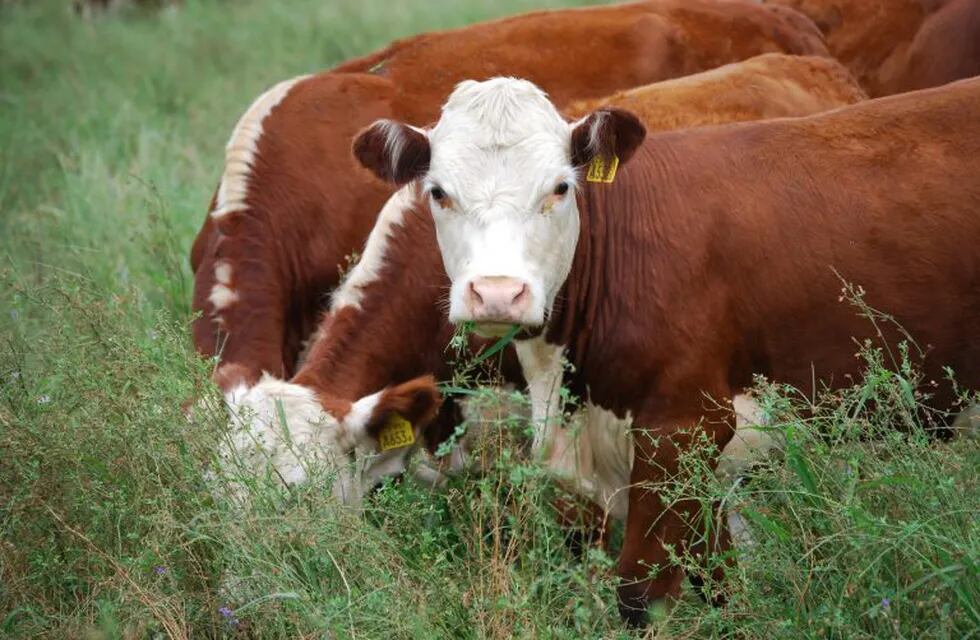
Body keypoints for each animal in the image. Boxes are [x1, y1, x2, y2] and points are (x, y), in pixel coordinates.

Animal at [350, 76, 980, 624]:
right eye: (439, 192)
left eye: (560, 187)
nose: (499, 293)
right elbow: (719, 581)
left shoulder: (685, 428)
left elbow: (641, 593)